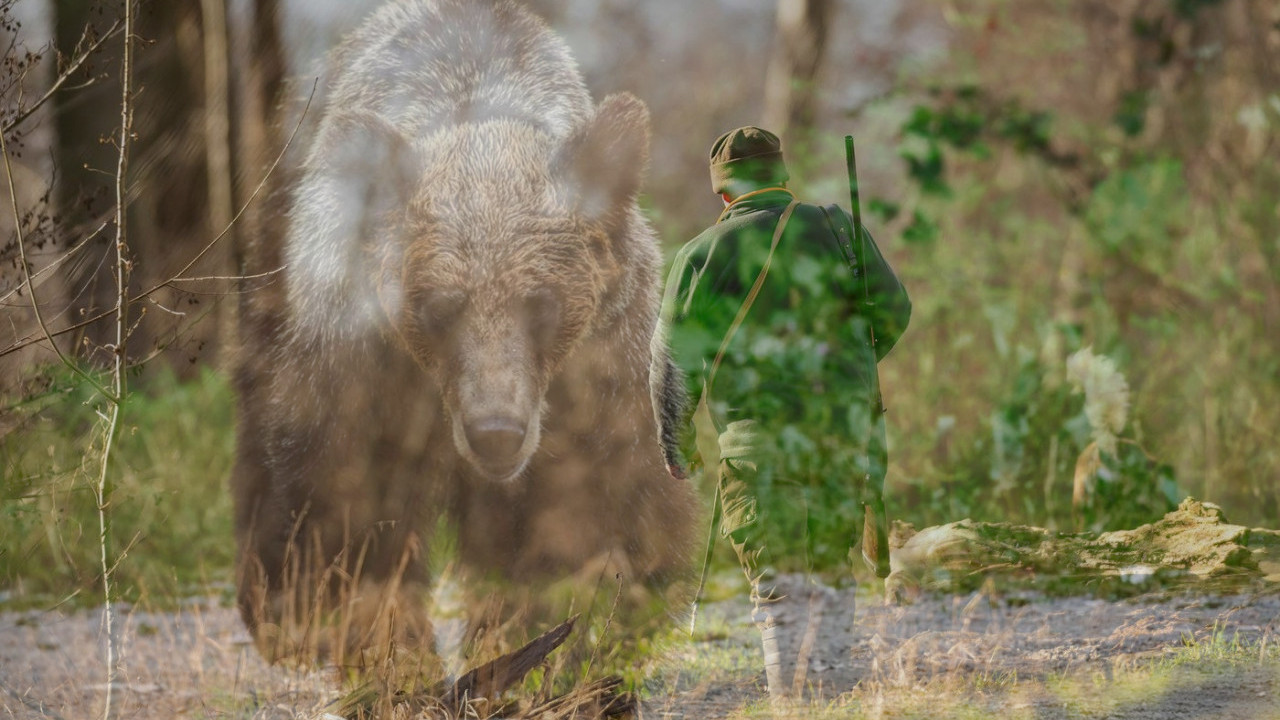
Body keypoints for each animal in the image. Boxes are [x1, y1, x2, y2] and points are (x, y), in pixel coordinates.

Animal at [235, 0, 706, 661]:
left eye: (542, 304)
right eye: (439, 306)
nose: (496, 433)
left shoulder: (600, 380)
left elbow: (594, 522)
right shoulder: (360, 369)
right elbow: (347, 510)